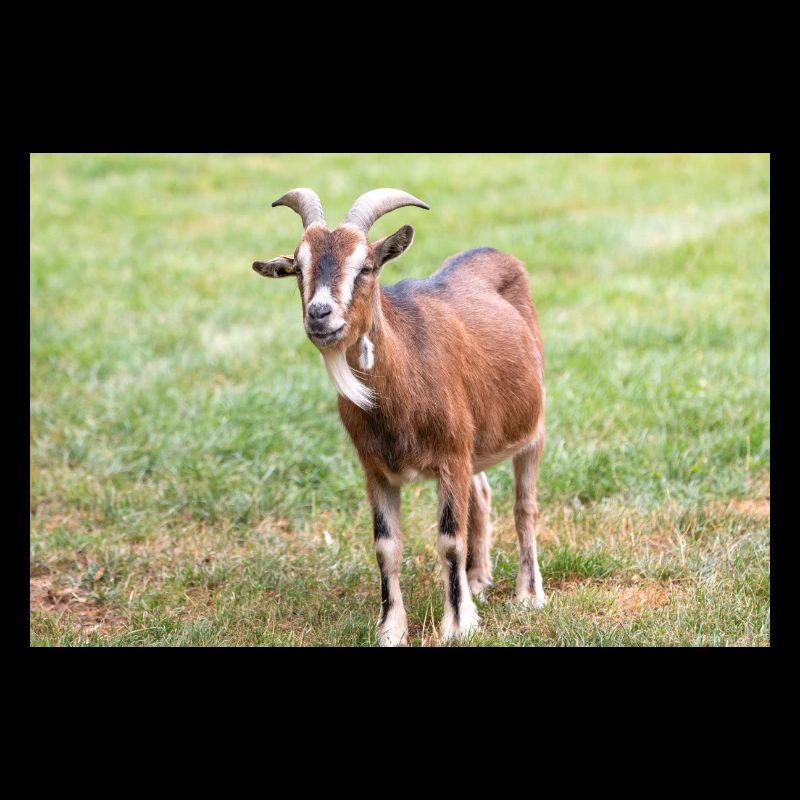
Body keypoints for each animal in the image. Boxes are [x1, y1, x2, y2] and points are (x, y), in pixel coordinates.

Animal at [253, 188, 546, 645]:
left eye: (366, 267)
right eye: (297, 267)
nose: (319, 314)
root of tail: (495, 253)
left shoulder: (450, 457)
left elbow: (449, 539)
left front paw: (459, 624)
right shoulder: (376, 469)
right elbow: (386, 546)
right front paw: (390, 629)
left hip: (532, 426)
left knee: (525, 506)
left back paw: (528, 595)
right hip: (475, 439)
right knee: (481, 494)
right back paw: (478, 579)